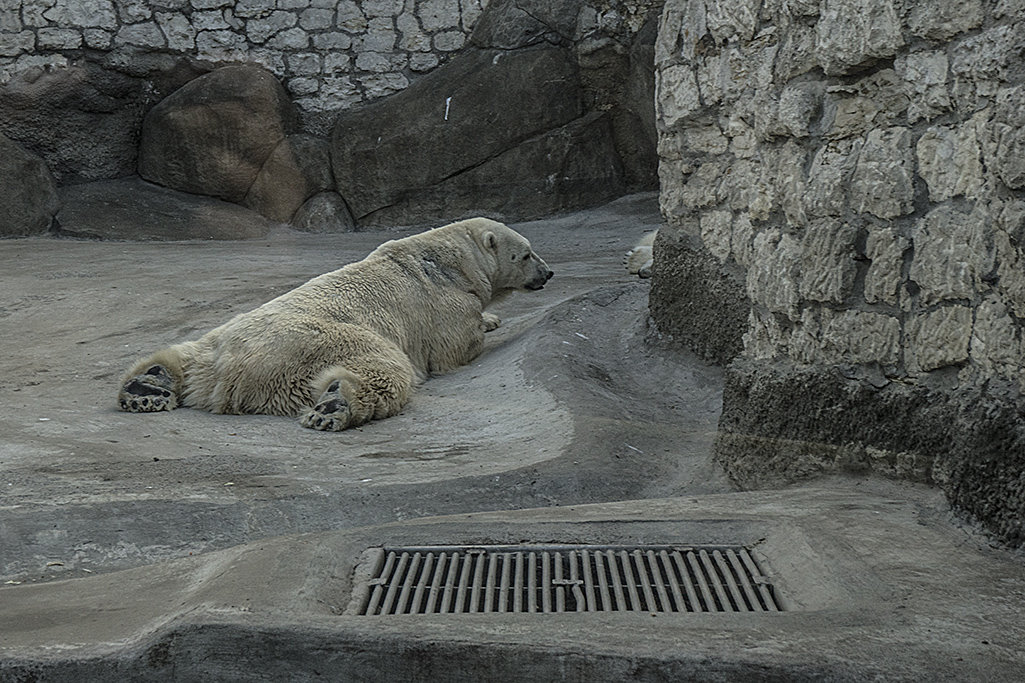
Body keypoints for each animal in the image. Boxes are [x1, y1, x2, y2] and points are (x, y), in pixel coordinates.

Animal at [117, 216, 553, 430]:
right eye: (526, 253)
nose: (548, 273)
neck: (448, 260)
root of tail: (233, 370)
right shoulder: (444, 304)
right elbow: (457, 344)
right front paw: (490, 320)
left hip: (215, 340)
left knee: (182, 354)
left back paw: (146, 386)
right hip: (331, 340)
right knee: (383, 369)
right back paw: (333, 407)